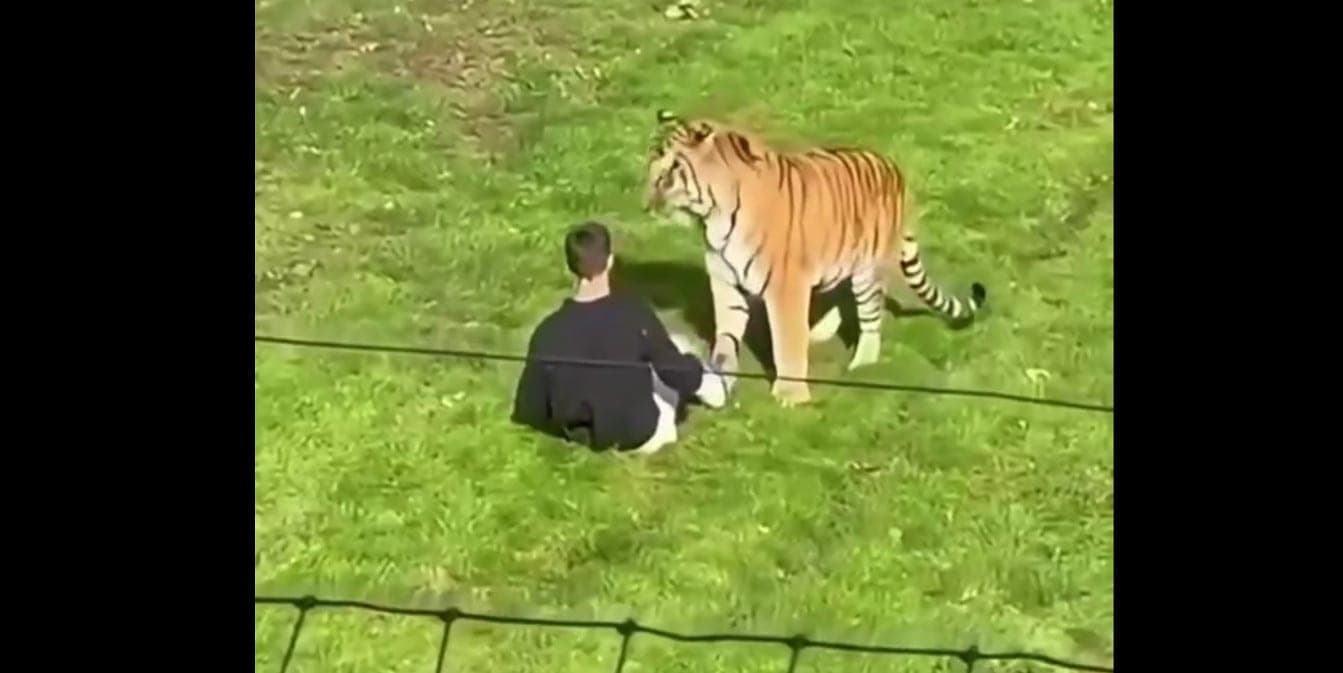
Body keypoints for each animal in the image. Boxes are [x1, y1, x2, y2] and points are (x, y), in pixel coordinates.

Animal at [643, 110, 987, 406]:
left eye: (668, 174)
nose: (646, 205)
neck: (713, 217)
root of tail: (895, 170)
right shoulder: (726, 284)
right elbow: (726, 338)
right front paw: (721, 382)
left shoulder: (785, 286)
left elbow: (786, 341)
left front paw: (791, 396)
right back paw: (818, 333)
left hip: (868, 271)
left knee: (870, 317)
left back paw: (861, 363)